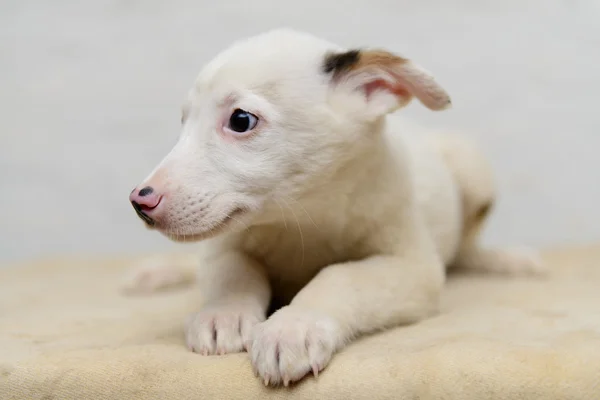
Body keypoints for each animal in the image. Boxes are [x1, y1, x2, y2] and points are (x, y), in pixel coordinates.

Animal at [126, 28, 544, 388]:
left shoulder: (411, 266)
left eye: (241, 120)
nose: (140, 201)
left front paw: (293, 327)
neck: (303, 215)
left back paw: (502, 260)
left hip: (470, 166)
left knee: (466, 247)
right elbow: (233, 272)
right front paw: (223, 314)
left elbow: (340, 276)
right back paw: (159, 272)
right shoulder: (225, 243)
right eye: (184, 123)